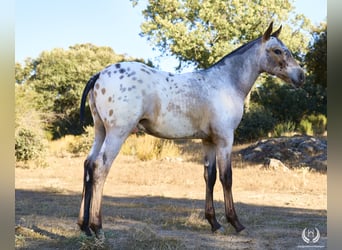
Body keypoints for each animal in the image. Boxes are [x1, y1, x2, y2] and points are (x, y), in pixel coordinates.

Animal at [77, 22, 304, 238]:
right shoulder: (225, 140)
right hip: (117, 133)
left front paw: (214, 223)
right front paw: (236, 223)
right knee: (100, 167)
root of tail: (99, 75)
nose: (301, 76)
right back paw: (97, 227)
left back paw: (84, 226)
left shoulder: (208, 141)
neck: (226, 83)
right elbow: (227, 178)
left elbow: (209, 177)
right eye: (277, 50)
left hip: (100, 131)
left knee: (88, 165)